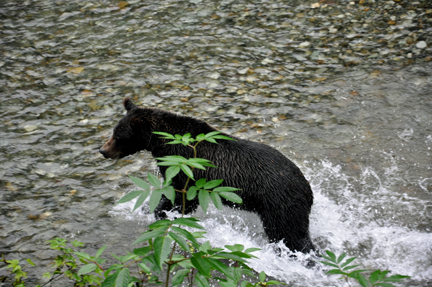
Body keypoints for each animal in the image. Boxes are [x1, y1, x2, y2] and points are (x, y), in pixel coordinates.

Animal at [101, 98, 318, 254]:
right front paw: (149, 208)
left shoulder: (188, 168)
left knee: (290, 236)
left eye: (118, 136)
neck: (164, 143)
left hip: (279, 205)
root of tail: (307, 188)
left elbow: (182, 198)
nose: (102, 150)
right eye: (113, 131)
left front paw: (162, 212)